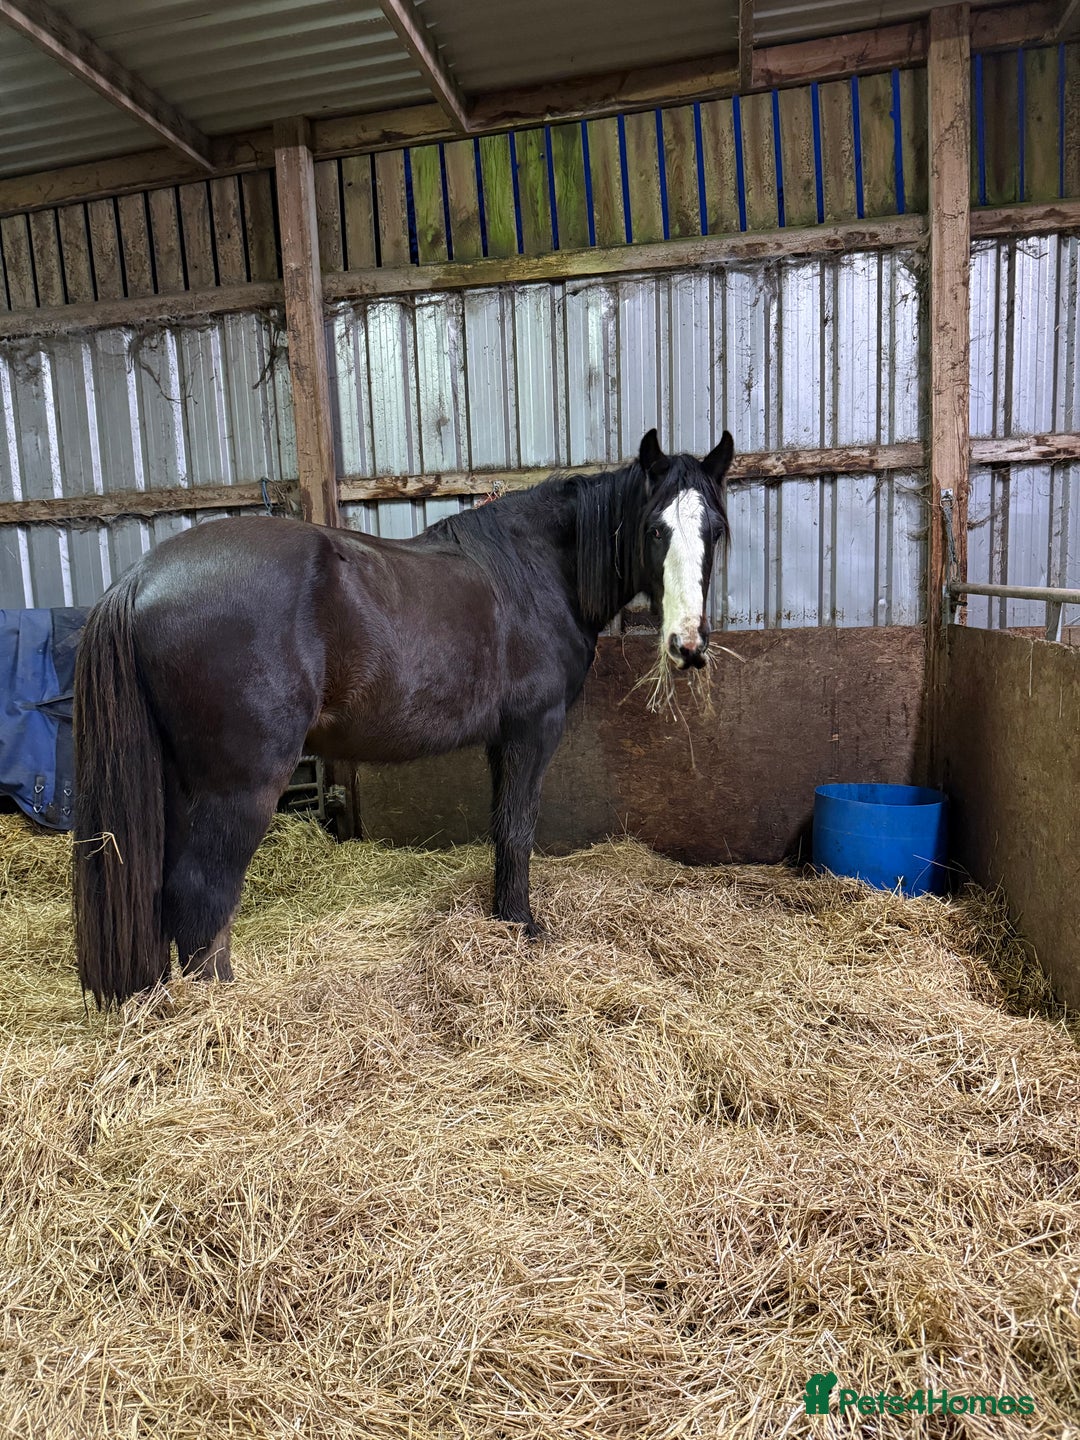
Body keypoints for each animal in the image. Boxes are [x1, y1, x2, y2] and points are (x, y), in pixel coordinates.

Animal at [73, 428, 733, 1007]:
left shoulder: (500, 740)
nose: (688, 646)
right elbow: (519, 829)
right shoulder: (532, 730)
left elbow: (502, 828)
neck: (536, 572)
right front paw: (524, 927)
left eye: (716, 530)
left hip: (180, 786)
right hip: (239, 787)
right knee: (202, 895)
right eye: (654, 529)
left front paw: (503, 919)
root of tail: (138, 580)